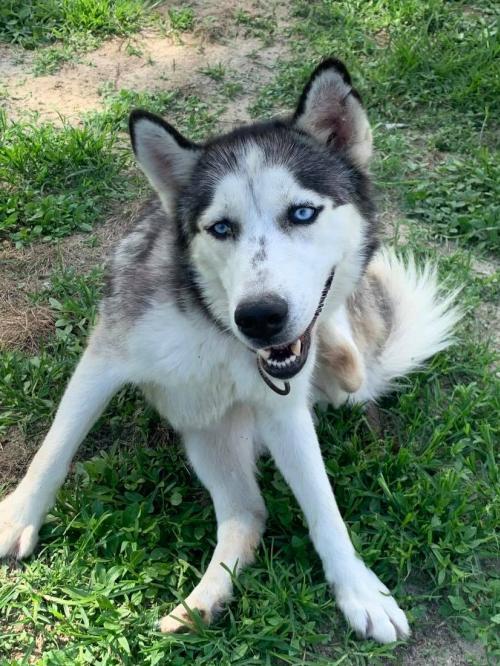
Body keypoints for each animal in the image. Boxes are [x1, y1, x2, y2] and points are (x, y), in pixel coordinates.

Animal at [0, 59, 458, 640]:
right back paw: (201, 604)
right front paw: (17, 518)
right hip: (205, 436)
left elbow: (324, 507)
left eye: (302, 213)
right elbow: (56, 447)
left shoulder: (285, 410)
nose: (260, 317)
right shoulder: (106, 356)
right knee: (248, 515)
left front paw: (358, 589)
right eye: (221, 227)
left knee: (342, 379)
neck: (217, 329)